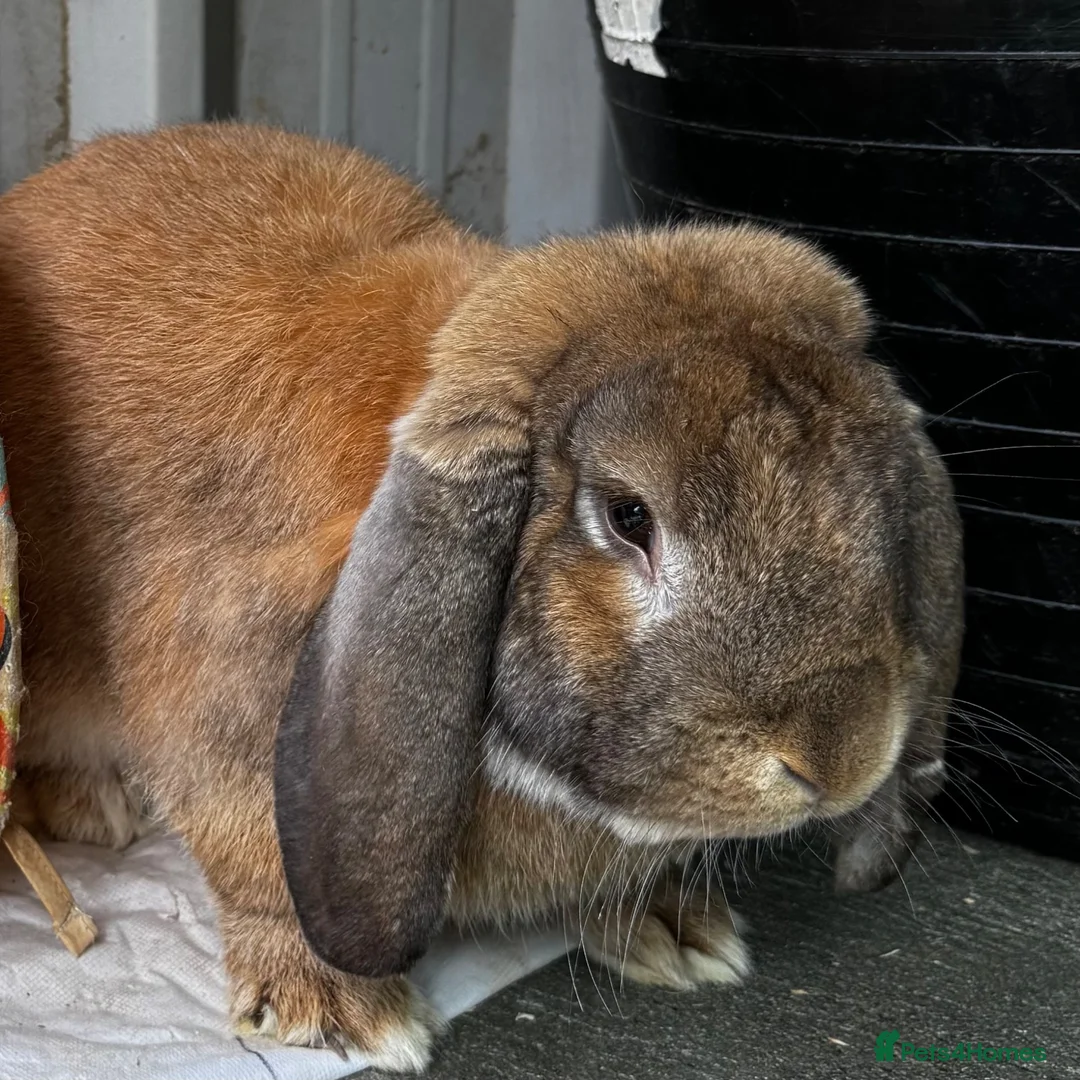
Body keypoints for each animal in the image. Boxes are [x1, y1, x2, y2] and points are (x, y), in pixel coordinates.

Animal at [0, 122, 963, 1071]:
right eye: (628, 516)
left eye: (872, 490)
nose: (843, 759)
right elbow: (260, 874)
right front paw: (337, 1012)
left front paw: (674, 930)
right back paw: (95, 809)